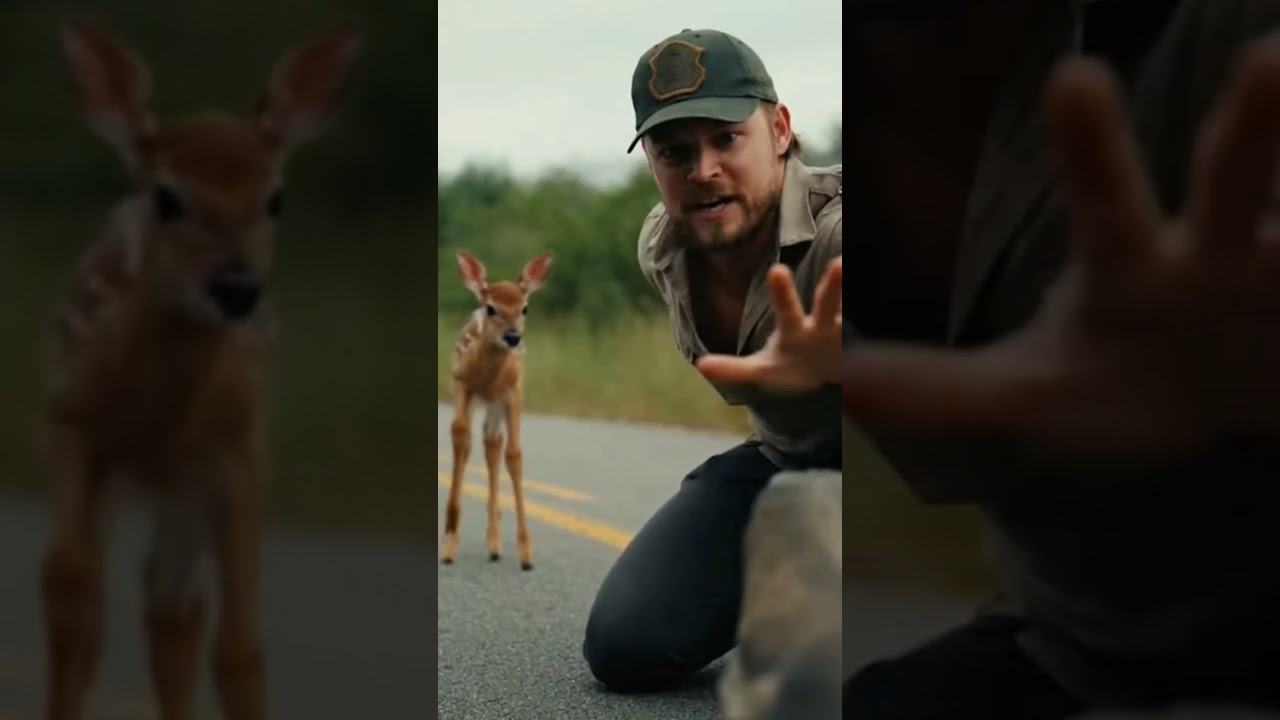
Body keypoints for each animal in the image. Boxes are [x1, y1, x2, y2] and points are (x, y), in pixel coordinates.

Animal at [39, 18, 360, 720]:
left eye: (275, 198)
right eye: (168, 197)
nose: (237, 288)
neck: (158, 427)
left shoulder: (239, 454)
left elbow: (239, 651)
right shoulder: (72, 424)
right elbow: (69, 593)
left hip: (186, 494)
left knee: (173, 611)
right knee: (107, 601)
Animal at [441, 251, 553, 572]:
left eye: (525, 307)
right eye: (491, 308)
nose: (513, 337)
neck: (487, 377)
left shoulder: (513, 392)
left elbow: (514, 456)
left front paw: (526, 554)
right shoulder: (461, 384)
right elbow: (460, 439)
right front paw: (449, 542)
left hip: (496, 405)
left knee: (493, 443)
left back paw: (494, 543)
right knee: (477, 443)